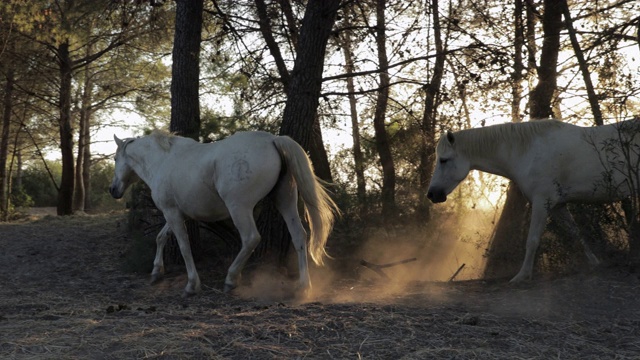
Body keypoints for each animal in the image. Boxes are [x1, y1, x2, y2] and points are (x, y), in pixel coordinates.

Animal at [110, 130, 340, 296]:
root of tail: (273, 140)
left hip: (239, 208)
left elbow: (184, 247)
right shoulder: (177, 213)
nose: (113, 190)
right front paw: (156, 271)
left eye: (114, 159)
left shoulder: (172, 213)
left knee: (250, 238)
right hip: (285, 201)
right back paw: (303, 286)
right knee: (299, 236)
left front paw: (192, 285)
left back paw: (231, 279)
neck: (162, 161)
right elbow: (161, 237)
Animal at [424, 119, 640, 282]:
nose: (432, 194)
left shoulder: (541, 203)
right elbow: (575, 234)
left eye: (443, 160)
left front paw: (522, 276)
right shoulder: (558, 206)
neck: (528, 151)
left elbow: (532, 240)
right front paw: (595, 263)